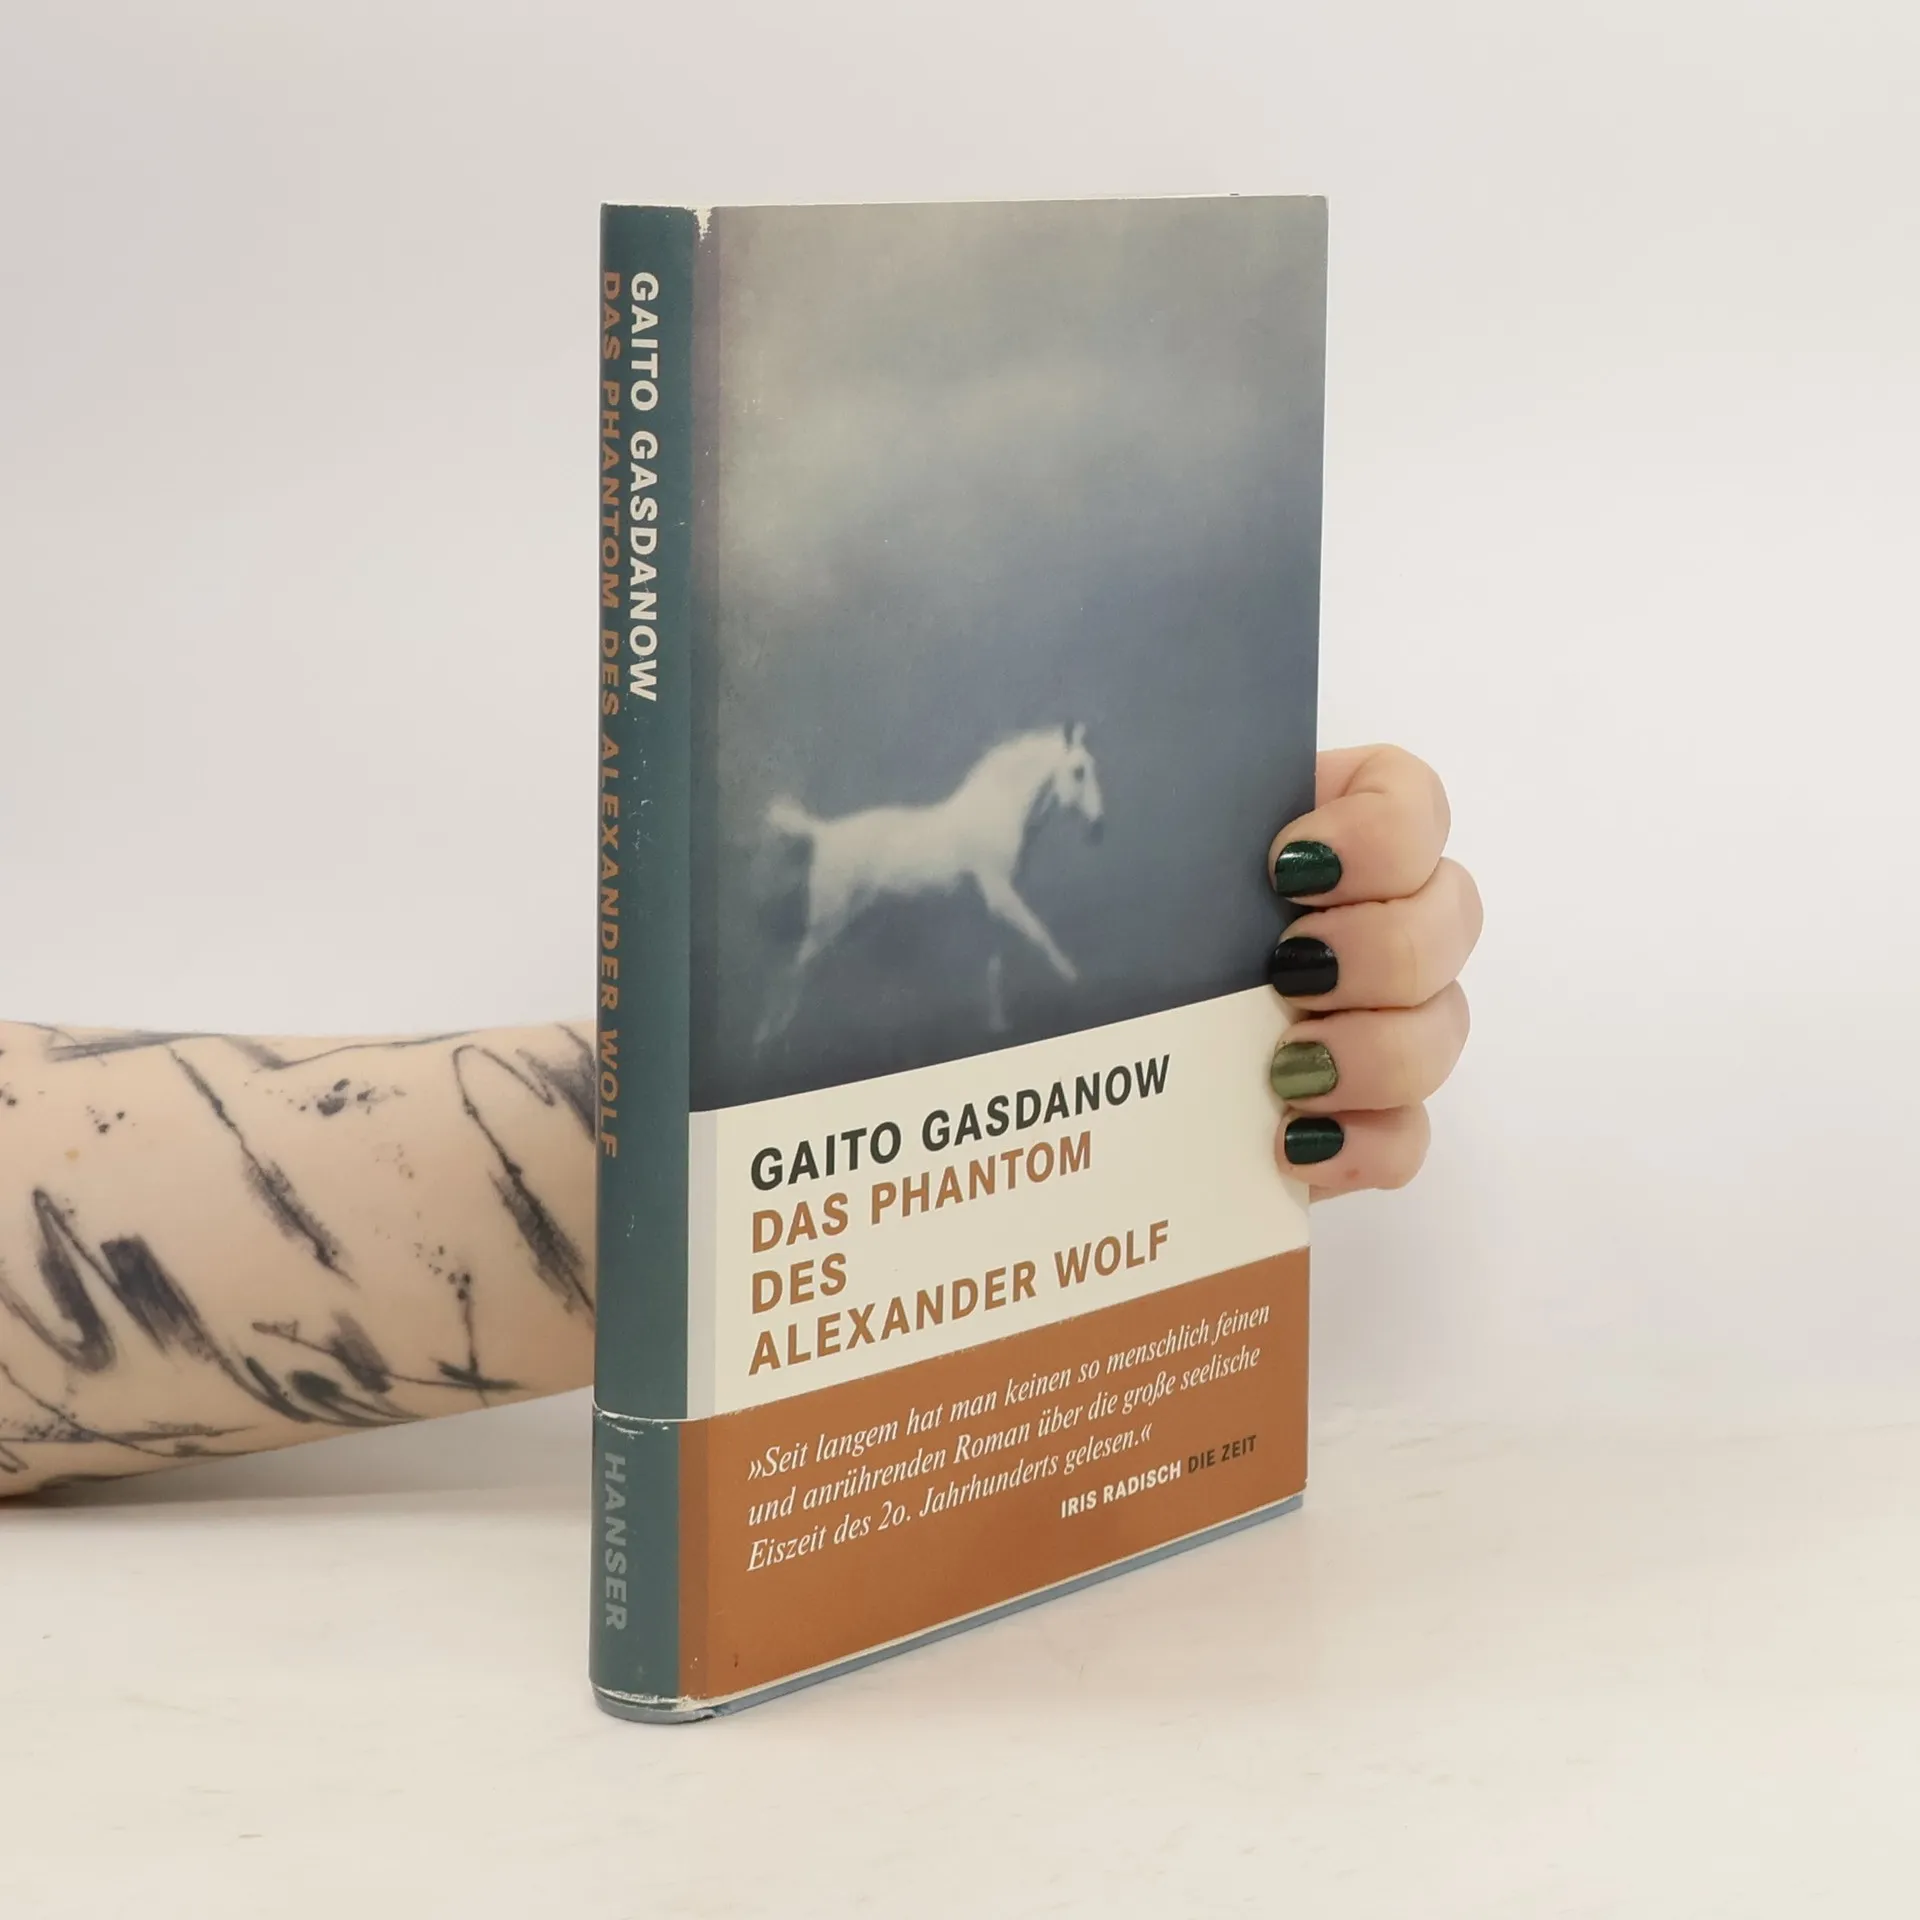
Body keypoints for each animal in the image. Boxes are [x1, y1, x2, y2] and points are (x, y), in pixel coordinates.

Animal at [753, 722, 1105, 1049]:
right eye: (1078, 771)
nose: (1098, 827)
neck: (993, 811)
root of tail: (821, 833)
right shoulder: (1000, 892)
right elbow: (1039, 933)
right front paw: (1076, 980)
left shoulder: (993, 905)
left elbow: (995, 962)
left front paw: (998, 1024)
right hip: (828, 917)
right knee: (793, 970)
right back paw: (769, 1038)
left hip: (845, 919)